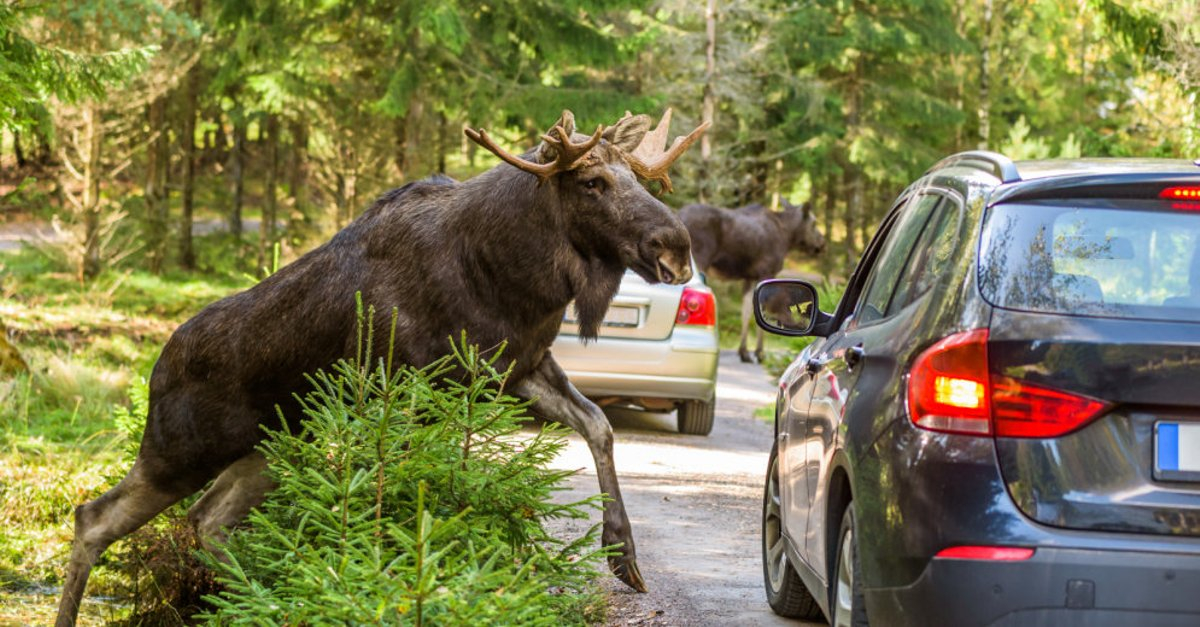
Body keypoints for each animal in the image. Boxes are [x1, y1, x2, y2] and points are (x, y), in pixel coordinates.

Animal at [56, 107, 705, 619]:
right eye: (593, 181)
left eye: (639, 179)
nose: (677, 247)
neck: (511, 277)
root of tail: (154, 372)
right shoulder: (415, 386)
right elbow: (418, 487)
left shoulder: (518, 367)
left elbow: (598, 424)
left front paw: (622, 554)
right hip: (183, 450)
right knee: (94, 517)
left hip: (270, 448)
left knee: (205, 520)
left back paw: (271, 590)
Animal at [686, 200, 825, 360]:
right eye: (814, 223)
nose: (822, 244)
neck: (788, 237)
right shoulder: (767, 272)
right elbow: (763, 310)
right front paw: (759, 352)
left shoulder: (750, 277)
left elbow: (746, 311)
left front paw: (744, 351)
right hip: (699, 258)